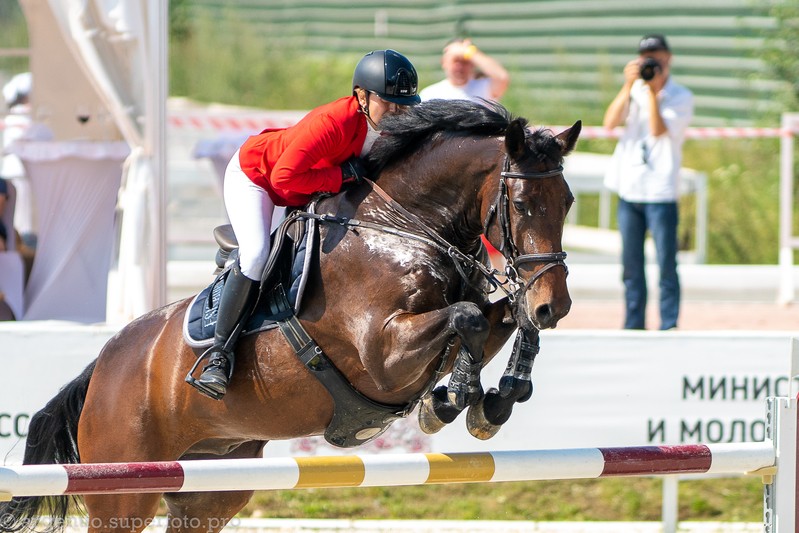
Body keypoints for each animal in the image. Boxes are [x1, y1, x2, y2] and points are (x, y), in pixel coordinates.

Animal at [3, 101, 584, 532]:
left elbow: (502, 318)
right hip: (121, 491)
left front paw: (497, 398)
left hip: (210, 489)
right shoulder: (382, 353)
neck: (403, 225)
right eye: (523, 204)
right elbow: (468, 319)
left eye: (569, 202)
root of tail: (102, 366)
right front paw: (451, 400)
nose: (555, 306)